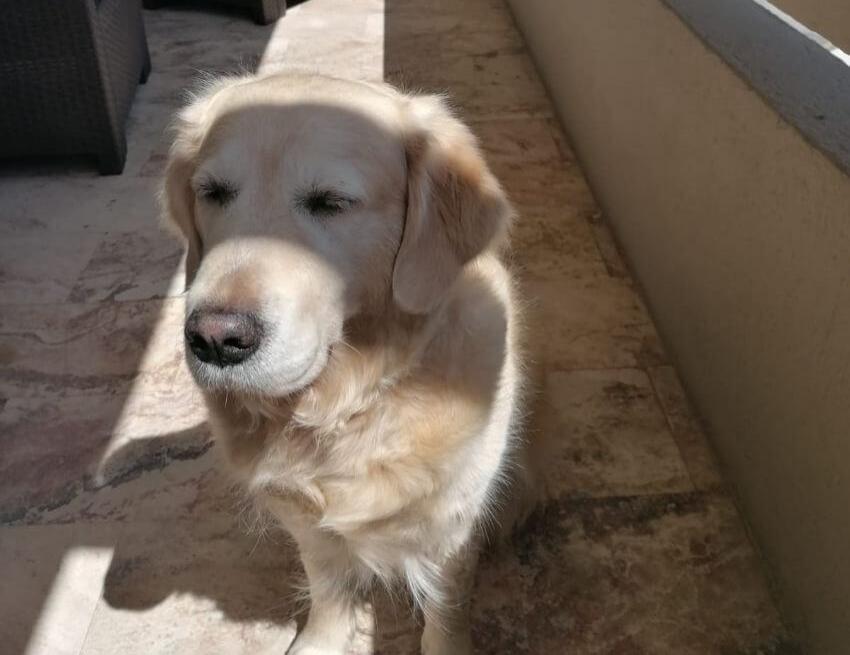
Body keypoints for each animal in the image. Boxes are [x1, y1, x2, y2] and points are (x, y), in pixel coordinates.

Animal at [160, 73, 528, 655]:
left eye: (331, 202)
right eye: (212, 192)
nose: (215, 340)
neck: (347, 406)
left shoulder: (452, 528)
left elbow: (445, 610)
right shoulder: (308, 522)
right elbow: (328, 586)